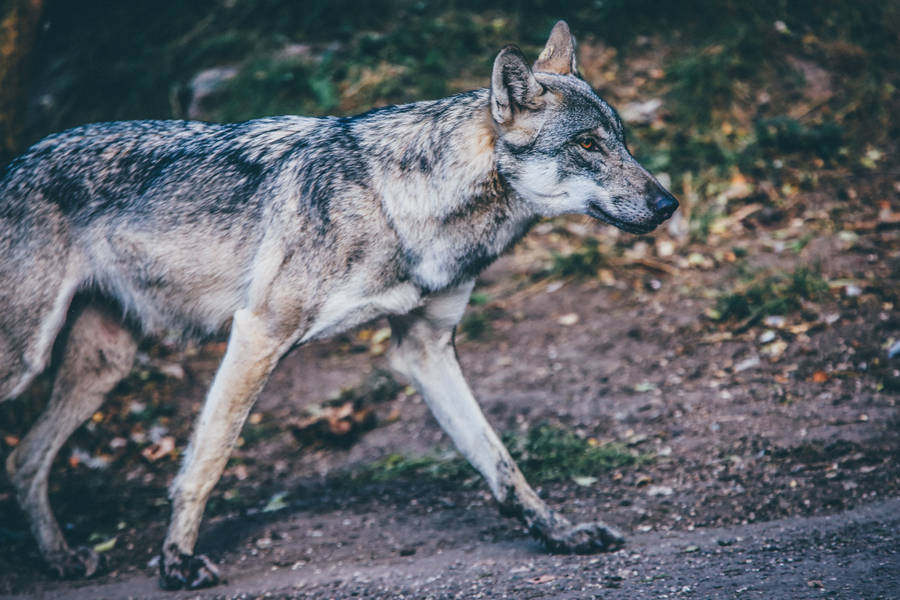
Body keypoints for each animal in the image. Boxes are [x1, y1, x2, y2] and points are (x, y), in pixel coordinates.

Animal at [0, 21, 677, 589]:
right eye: (587, 144)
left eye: (622, 141)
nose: (668, 204)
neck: (399, 205)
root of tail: (15, 162)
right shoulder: (258, 334)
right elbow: (208, 460)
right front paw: (177, 562)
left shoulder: (426, 350)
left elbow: (502, 465)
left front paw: (561, 533)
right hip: (28, 360)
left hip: (103, 366)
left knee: (25, 458)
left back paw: (61, 559)